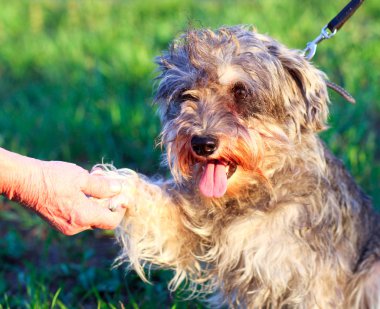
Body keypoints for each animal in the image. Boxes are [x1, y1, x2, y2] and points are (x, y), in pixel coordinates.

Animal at [95, 25, 380, 306]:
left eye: (240, 92)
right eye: (186, 94)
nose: (202, 143)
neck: (253, 192)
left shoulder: (313, 283)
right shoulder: (190, 226)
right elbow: (157, 208)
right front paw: (113, 185)